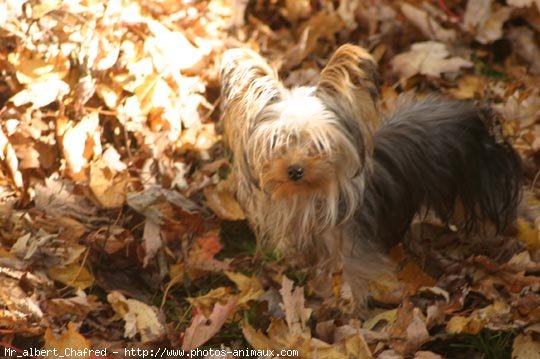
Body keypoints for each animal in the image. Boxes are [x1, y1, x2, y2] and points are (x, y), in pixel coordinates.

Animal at [217, 44, 520, 310]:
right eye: (277, 143)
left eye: (320, 145)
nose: (295, 170)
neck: (310, 194)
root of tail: (473, 113)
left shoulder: (352, 243)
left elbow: (355, 273)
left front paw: (350, 308)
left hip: (482, 177)